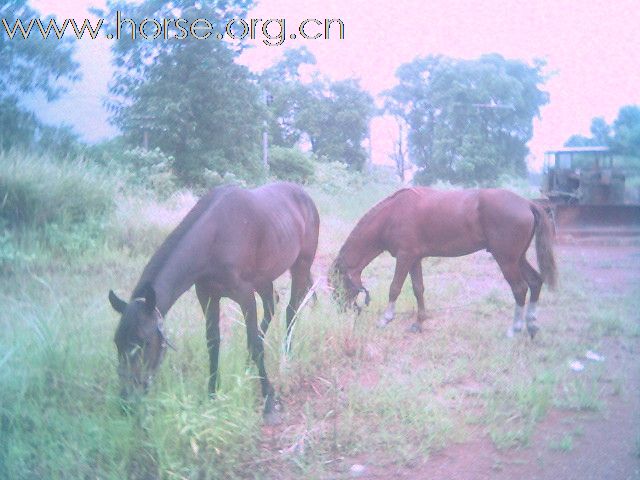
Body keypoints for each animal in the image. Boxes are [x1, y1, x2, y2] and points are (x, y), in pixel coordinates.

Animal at [110, 182, 322, 422]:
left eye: (144, 342)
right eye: (117, 342)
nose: (126, 402)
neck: (215, 236)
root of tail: (305, 196)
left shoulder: (244, 294)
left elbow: (255, 345)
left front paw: (269, 400)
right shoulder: (207, 295)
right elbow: (213, 343)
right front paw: (211, 394)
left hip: (300, 265)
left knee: (290, 310)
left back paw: (286, 356)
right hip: (264, 278)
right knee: (271, 305)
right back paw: (249, 364)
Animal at [332, 188, 556, 338]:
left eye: (336, 284)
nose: (341, 311)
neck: (393, 215)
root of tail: (528, 204)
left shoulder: (404, 257)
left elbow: (394, 288)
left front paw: (385, 319)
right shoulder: (415, 259)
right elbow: (418, 289)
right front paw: (419, 323)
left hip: (506, 260)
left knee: (520, 289)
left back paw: (514, 329)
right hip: (518, 258)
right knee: (535, 282)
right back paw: (531, 326)